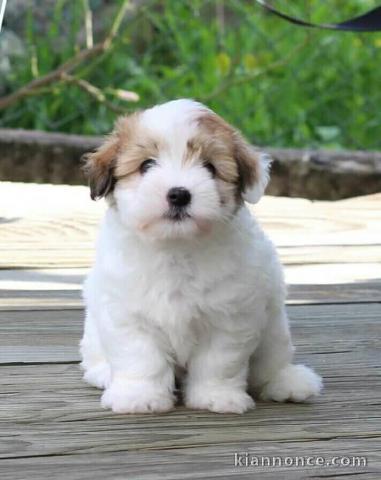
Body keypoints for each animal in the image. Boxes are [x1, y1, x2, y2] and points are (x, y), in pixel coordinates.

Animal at [80, 99, 320, 414]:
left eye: (210, 167)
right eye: (146, 165)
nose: (179, 194)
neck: (177, 246)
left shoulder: (231, 316)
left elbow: (218, 361)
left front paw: (216, 396)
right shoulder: (126, 313)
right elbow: (140, 356)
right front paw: (139, 396)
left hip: (275, 326)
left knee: (272, 359)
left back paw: (287, 381)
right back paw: (103, 373)